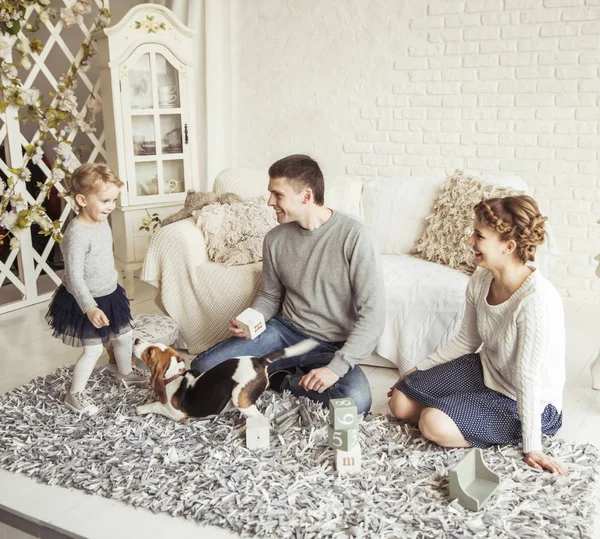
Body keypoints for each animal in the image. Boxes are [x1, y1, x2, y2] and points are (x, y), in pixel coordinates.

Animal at [132, 338, 318, 422]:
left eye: (149, 352)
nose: (136, 339)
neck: (174, 375)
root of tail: (259, 361)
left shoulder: (176, 414)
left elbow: (155, 405)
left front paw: (140, 408)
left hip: (239, 398)